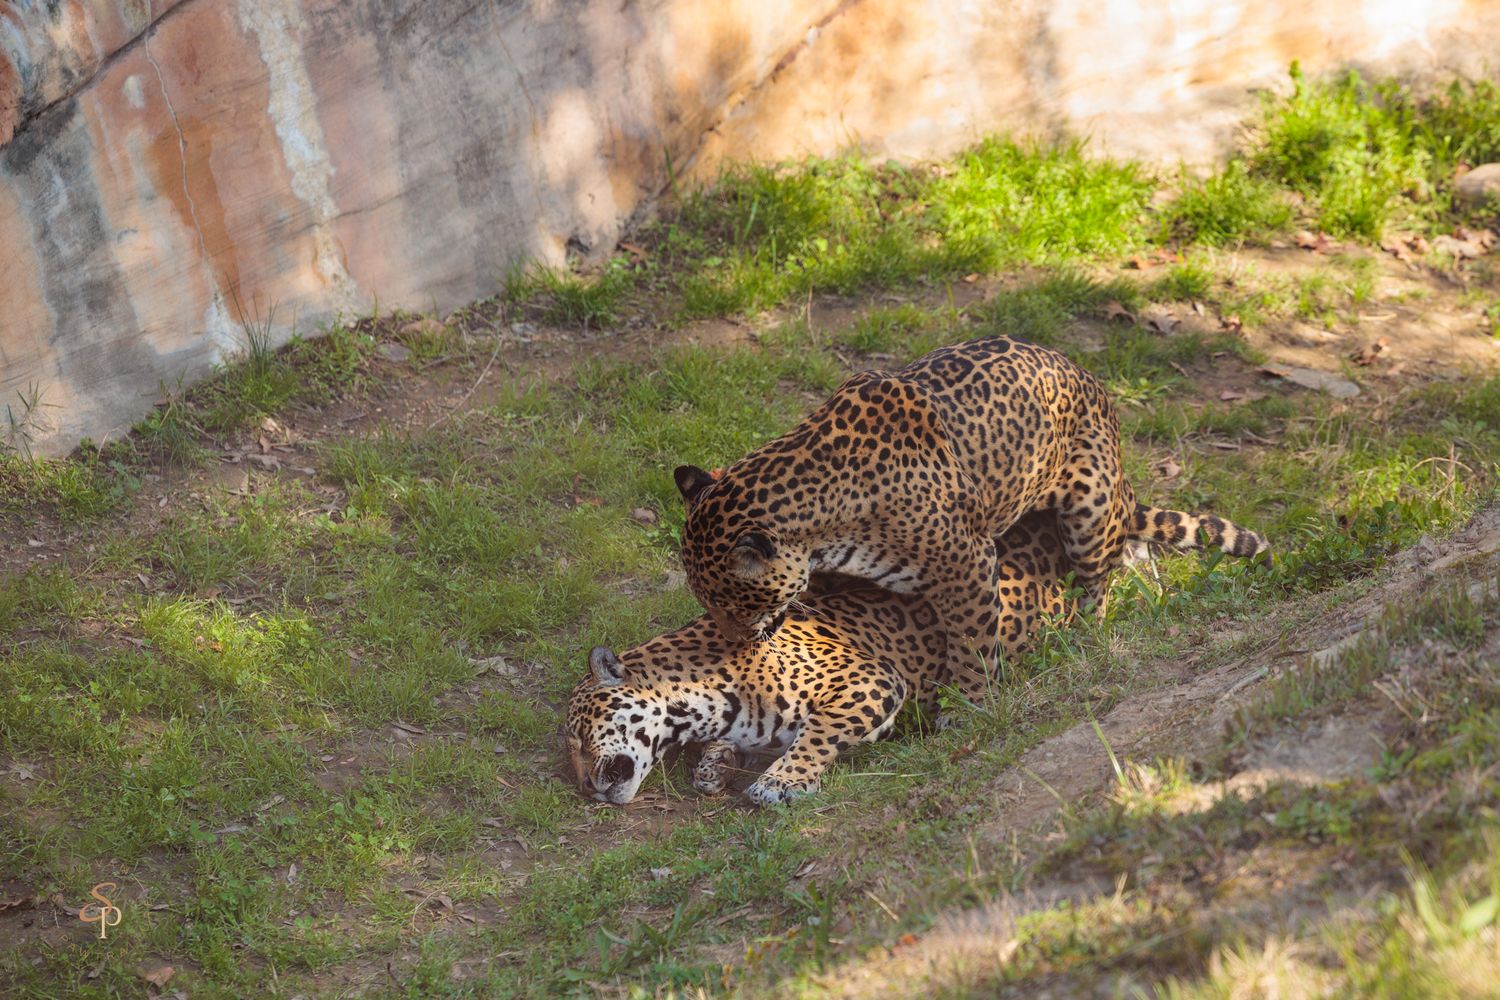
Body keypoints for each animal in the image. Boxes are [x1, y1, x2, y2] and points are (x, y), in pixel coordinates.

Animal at [566, 505, 1266, 806]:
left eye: (576, 736)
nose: (586, 789)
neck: (702, 698)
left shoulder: (867, 681)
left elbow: (818, 736)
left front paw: (782, 782)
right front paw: (713, 769)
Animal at [673, 335, 1268, 693]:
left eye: (730, 602)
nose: (734, 641)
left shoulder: (967, 563)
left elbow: (973, 644)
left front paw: (969, 709)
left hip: (1090, 507)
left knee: (1101, 580)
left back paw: (1086, 635)